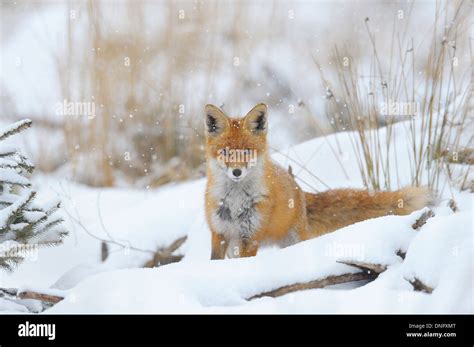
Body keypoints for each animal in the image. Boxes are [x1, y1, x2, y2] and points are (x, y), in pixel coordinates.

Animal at [204, 104, 434, 260]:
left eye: (247, 152)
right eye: (225, 152)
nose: (236, 172)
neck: (235, 201)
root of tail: (300, 191)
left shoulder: (250, 236)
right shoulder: (219, 233)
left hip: (293, 240)